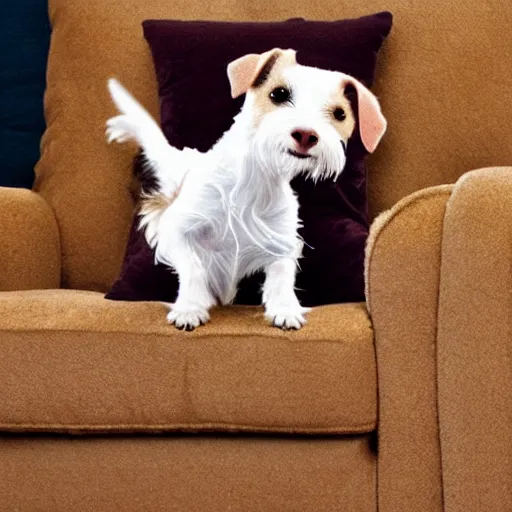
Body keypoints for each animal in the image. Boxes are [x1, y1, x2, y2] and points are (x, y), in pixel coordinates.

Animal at [105, 49, 384, 332]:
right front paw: (190, 309)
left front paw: (285, 309)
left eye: (340, 114)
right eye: (278, 94)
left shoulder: (282, 242)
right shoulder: (176, 230)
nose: (306, 135)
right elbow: (194, 267)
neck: (253, 180)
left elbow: (282, 275)